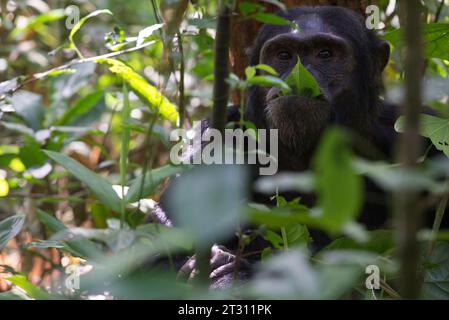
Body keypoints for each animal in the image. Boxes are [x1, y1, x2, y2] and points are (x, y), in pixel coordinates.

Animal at [154, 6, 444, 288]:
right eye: (283, 55)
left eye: (325, 54)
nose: (297, 77)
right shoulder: (210, 141)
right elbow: (158, 251)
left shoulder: (428, 142)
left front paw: (231, 269)